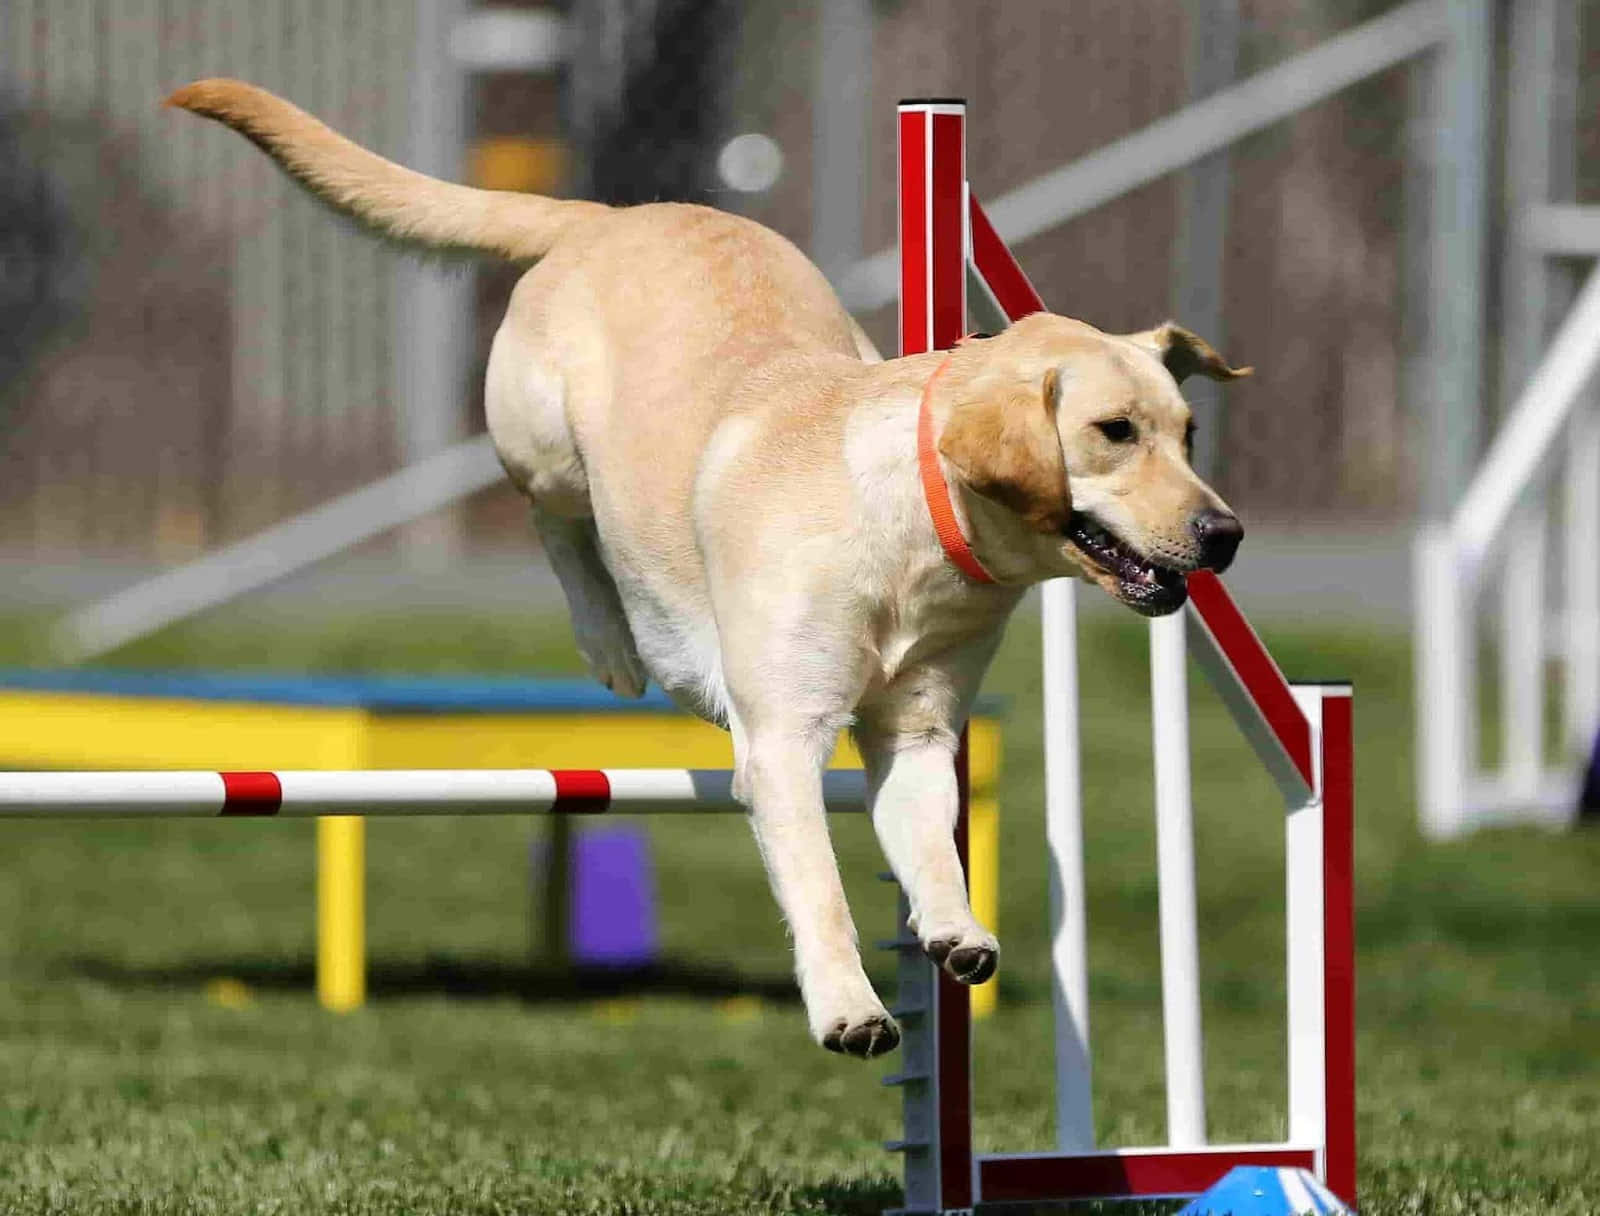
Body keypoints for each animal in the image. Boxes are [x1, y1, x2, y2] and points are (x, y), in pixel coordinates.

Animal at [172, 80, 1248, 1062]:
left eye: (1189, 433)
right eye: (1113, 431)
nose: (1226, 532)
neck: (913, 528)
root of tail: (610, 215)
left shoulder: (918, 731)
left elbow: (937, 848)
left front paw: (954, 931)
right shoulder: (781, 744)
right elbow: (819, 886)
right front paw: (851, 1010)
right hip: (543, 444)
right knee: (556, 522)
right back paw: (610, 641)